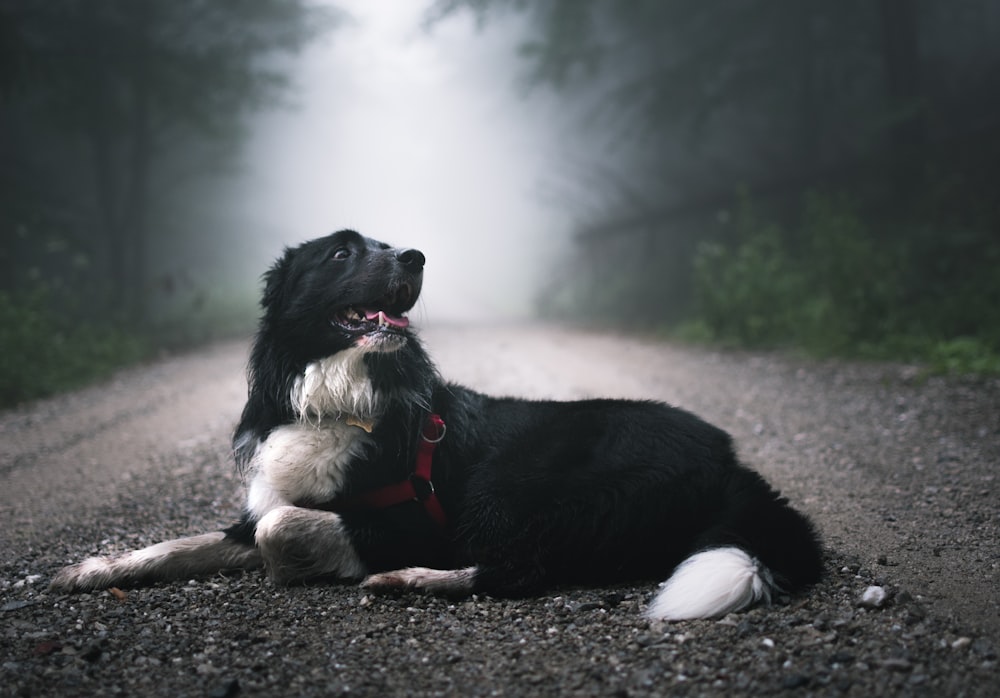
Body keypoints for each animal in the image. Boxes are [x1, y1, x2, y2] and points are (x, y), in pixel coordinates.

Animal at [48, 228, 820, 620]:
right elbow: (182, 543)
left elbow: (282, 530)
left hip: (514, 488)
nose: (416, 256)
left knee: (525, 568)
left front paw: (310, 565)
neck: (343, 394)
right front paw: (94, 568)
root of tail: (732, 462)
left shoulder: (415, 517)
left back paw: (409, 581)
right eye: (341, 252)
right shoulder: (261, 503)